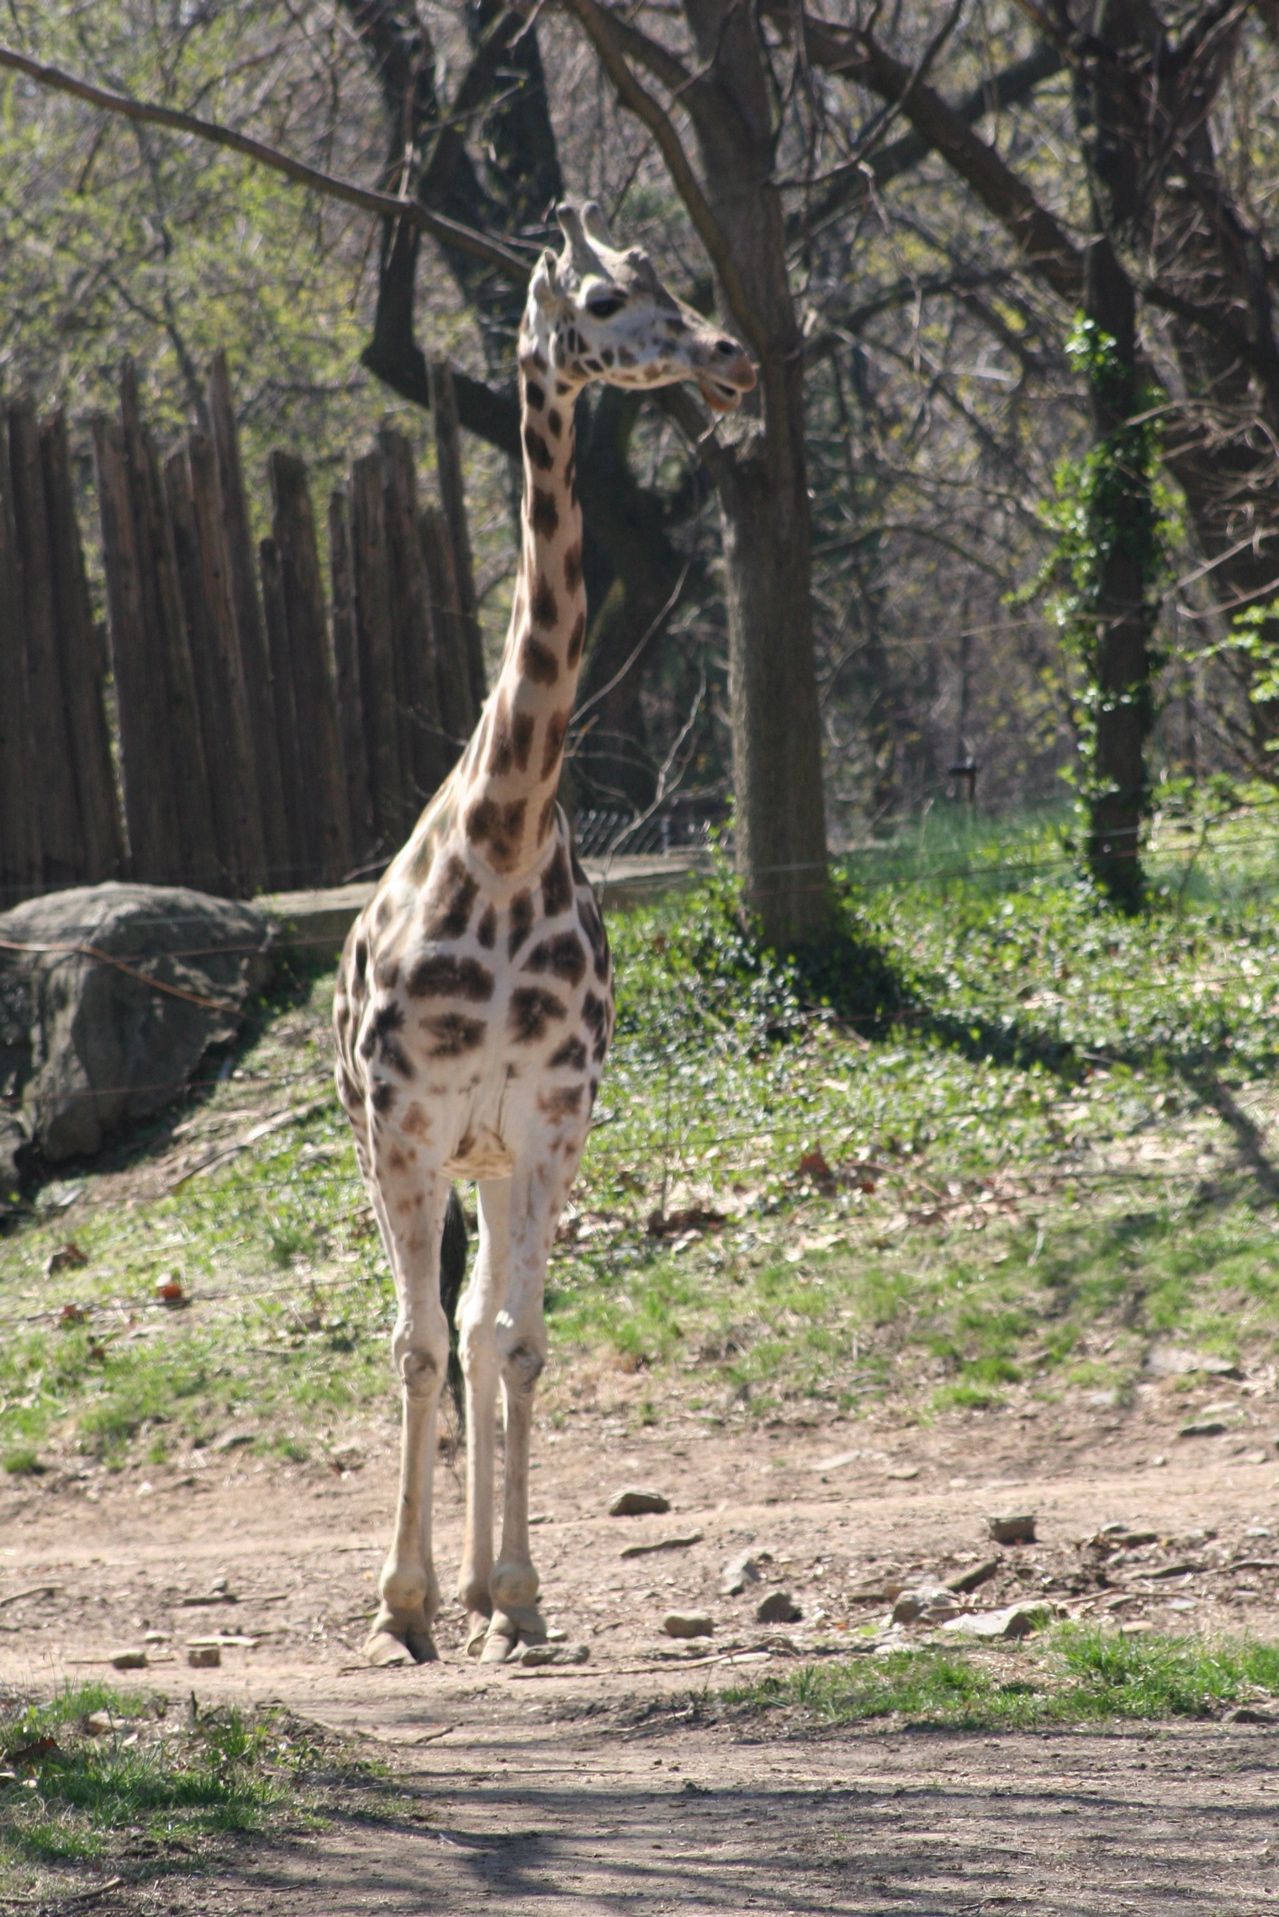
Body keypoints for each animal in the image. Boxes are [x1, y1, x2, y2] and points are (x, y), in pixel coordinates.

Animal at [333, 198, 759, 1663]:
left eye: (661, 276)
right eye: (600, 300)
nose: (731, 358)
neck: (506, 834)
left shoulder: (550, 1123)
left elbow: (513, 1341)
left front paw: (513, 1599)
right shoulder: (405, 1127)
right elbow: (408, 1347)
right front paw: (398, 1609)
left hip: (499, 1159)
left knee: (478, 1331)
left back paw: (481, 1591)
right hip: (416, 1151)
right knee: (435, 1336)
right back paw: (430, 1595)